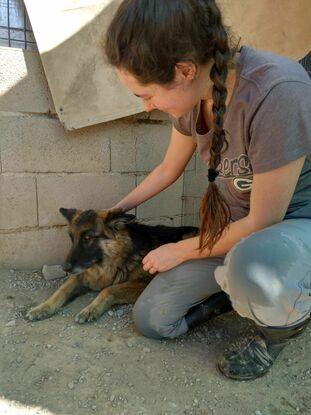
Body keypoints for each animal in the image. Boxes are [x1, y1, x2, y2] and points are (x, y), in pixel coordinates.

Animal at [26, 208, 197, 324]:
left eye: (87, 238)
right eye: (71, 238)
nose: (65, 267)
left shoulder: (143, 283)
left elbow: (108, 289)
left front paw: (91, 309)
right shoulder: (82, 276)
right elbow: (61, 290)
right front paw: (42, 308)